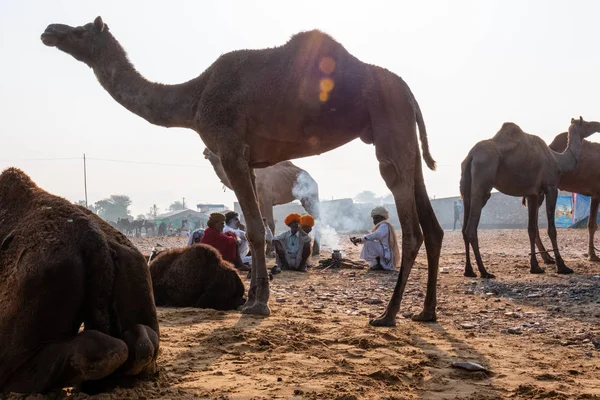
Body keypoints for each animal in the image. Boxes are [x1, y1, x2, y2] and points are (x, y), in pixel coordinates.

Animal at [462, 115, 596, 278]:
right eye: (587, 124)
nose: (598, 125)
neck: (558, 160)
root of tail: (471, 156)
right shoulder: (551, 187)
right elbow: (551, 229)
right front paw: (562, 266)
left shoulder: (533, 194)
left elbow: (532, 229)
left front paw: (535, 267)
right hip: (482, 180)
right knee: (471, 229)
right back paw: (484, 271)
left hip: (466, 189)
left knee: (464, 229)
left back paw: (469, 271)